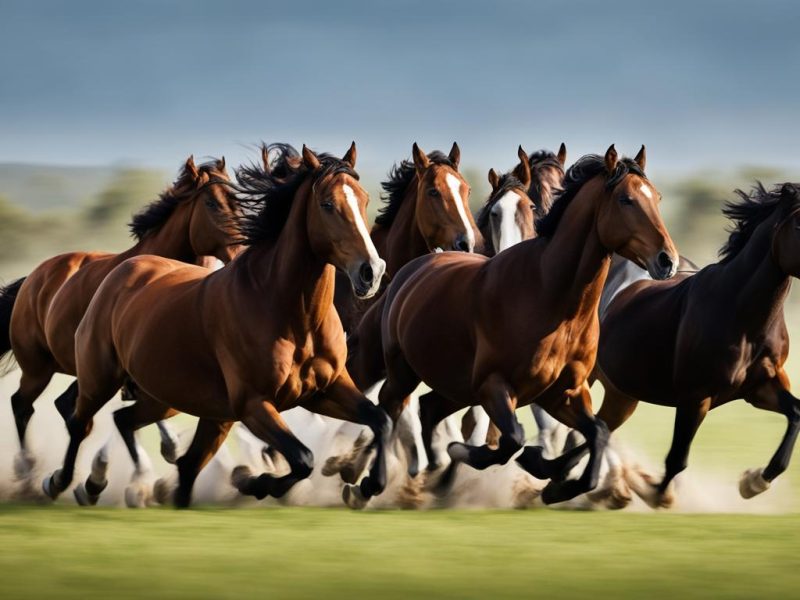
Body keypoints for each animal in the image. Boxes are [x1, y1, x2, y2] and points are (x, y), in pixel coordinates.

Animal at [0, 156, 239, 488]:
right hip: (39, 368)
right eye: (212, 203)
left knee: (64, 405)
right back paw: (28, 472)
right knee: (22, 404)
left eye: (238, 200)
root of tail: (32, 279)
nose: (241, 249)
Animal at [43, 143, 394, 508]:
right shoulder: (254, 404)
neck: (292, 318)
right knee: (80, 422)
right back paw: (66, 483)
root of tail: (122, 269)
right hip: (100, 379)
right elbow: (303, 458)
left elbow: (380, 420)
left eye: (364, 199)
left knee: (134, 427)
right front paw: (258, 483)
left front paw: (369, 484)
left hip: (164, 398)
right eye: (327, 204)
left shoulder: (325, 390)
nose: (371, 272)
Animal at [340, 145, 680, 506]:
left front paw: (557, 484)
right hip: (402, 371)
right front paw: (469, 454)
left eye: (657, 197)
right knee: (388, 409)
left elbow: (597, 433)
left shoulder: (563, 392)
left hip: (455, 385)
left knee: (427, 407)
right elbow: (511, 439)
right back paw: (368, 484)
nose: (667, 260)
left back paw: (432, 475)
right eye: (626, 199)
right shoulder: (495, 386)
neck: (551, 297)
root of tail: (412, 268)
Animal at [592, 182, 800, 506]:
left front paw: (754, 482)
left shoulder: (760, 388)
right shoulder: (696, 397)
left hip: (621, 393)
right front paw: (653, 492)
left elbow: (796, 415)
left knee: (597, 424)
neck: (740, 315)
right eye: (799, 224)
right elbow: (677, 459)